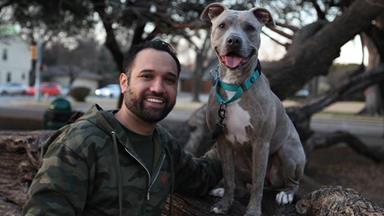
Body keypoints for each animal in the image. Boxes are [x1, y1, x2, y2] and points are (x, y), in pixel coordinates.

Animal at [201, 3, 306, 216]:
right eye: (222, 25)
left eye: (250, 27)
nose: (234, 40)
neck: (235, 84)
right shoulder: (223, 142)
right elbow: (229, 178)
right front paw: (224, 205)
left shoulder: (261, 142)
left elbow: (257, 185)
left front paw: (253, 211)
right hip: (236, 158)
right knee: (240, 185)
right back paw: (222, 190)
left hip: (289, 153)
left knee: (289, 182)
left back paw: (286, 194)